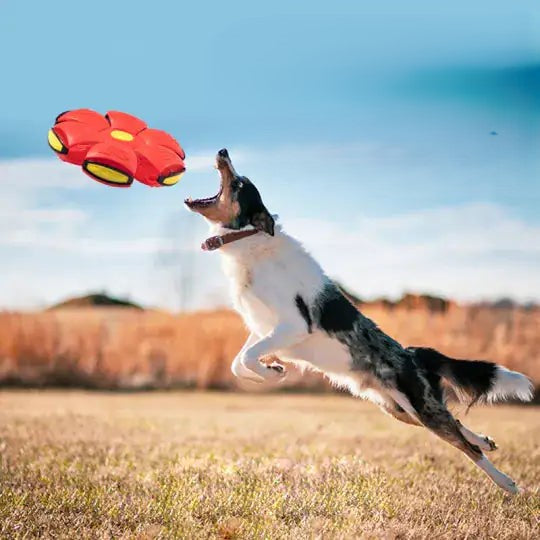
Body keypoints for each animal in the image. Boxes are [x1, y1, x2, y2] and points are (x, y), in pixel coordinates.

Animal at [187, 148, 536, 494]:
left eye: (239, 183)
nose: (223, 151)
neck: (249, 240)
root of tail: (413, 354)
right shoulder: (263, 327)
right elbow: (238, 362)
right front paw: (269, 370)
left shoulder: (293, 324)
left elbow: (246, 357)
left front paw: (272, 371)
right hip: (398, 409)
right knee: (459, 425)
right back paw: (486, 441)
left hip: (419, 407)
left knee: (466, 446)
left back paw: (507, 482)